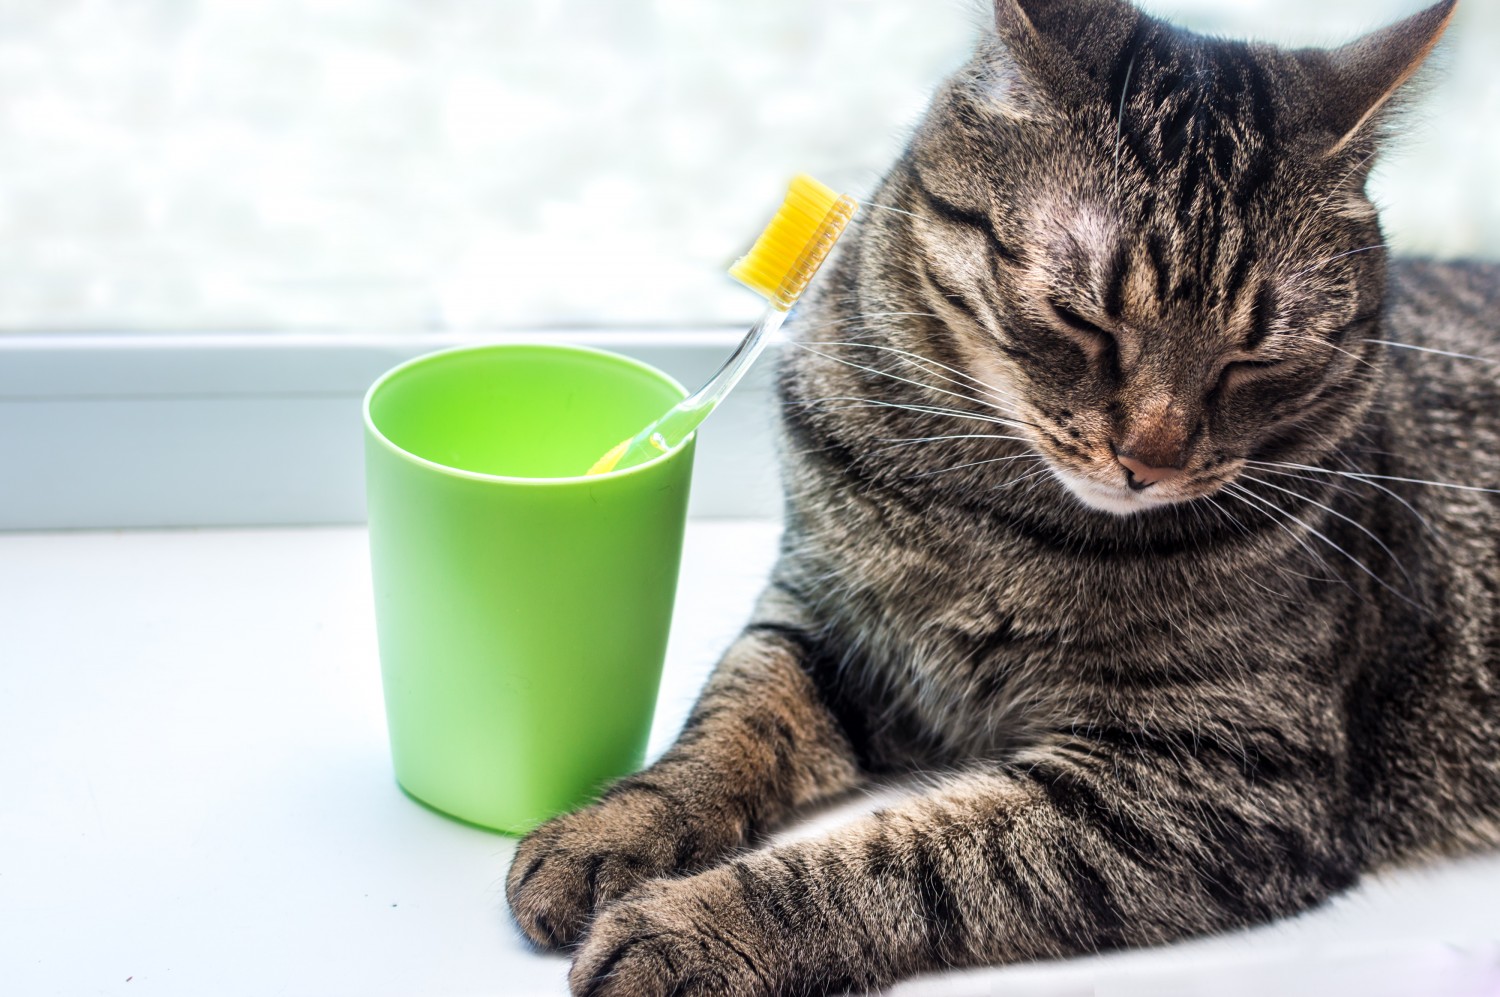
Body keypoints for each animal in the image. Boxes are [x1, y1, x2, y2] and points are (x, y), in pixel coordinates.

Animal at [507, 0, 1500, 989]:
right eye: (1083, 320)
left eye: (1254, 359)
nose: (1152, 457)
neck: (995, 510)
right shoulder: (822, 627)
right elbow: (730, 724)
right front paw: (613, 827)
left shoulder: (1224, 778)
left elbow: (916, 861)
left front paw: (698, 927)